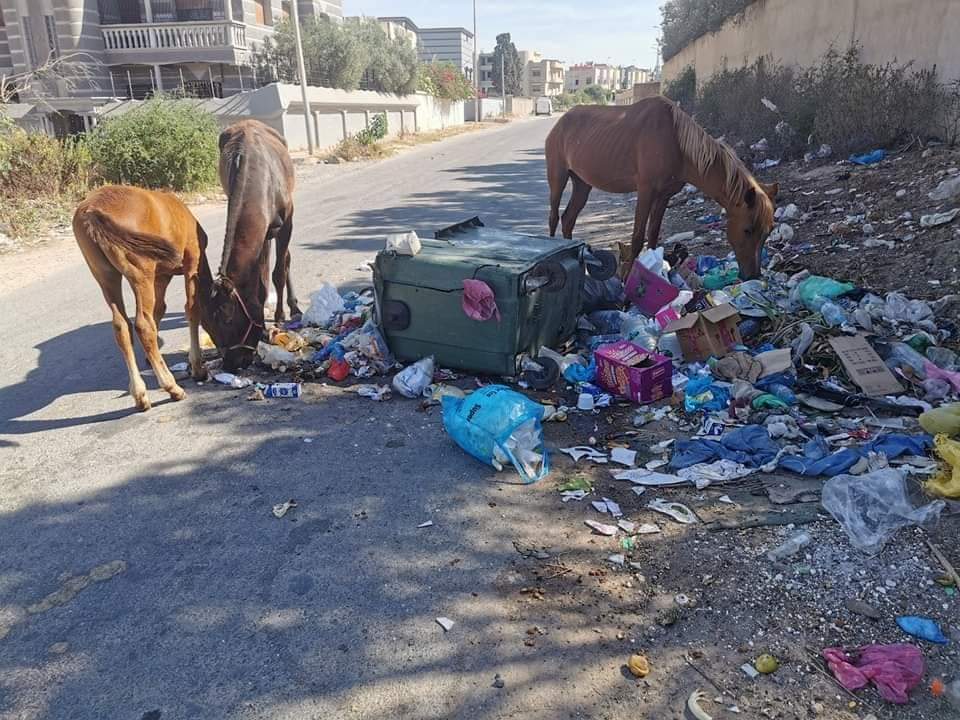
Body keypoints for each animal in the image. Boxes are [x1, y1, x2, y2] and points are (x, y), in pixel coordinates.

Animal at [73, 186, 210, 410]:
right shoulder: (192, 262)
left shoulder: (161, 277)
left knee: (121, 325)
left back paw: (139, 393)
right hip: (140, 274)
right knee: (143, 325)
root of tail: (93, 209)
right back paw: (171, 387)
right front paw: (197, 366)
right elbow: (192, 309)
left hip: (105, 276)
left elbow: (159, 310)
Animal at [205, 119, 300, 372]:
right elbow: (261, 282)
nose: (230, 363)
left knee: (285, 261)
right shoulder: (260, 233)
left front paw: (280, 316)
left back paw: (294, 307)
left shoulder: (286, 222)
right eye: (208, 324)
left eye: (228, 318)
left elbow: (279, 271)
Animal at [544, 93, 776, 278]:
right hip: (558, 177)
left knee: (568, 219)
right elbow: (638, 237)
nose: (753, 275)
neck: (677, 143)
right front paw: (626, 280)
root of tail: (561, 121)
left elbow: (654, 235)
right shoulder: (646, 191)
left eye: (768, 232)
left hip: (582, 184)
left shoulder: (664, 196)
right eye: (747, 230)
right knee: (554, 217)